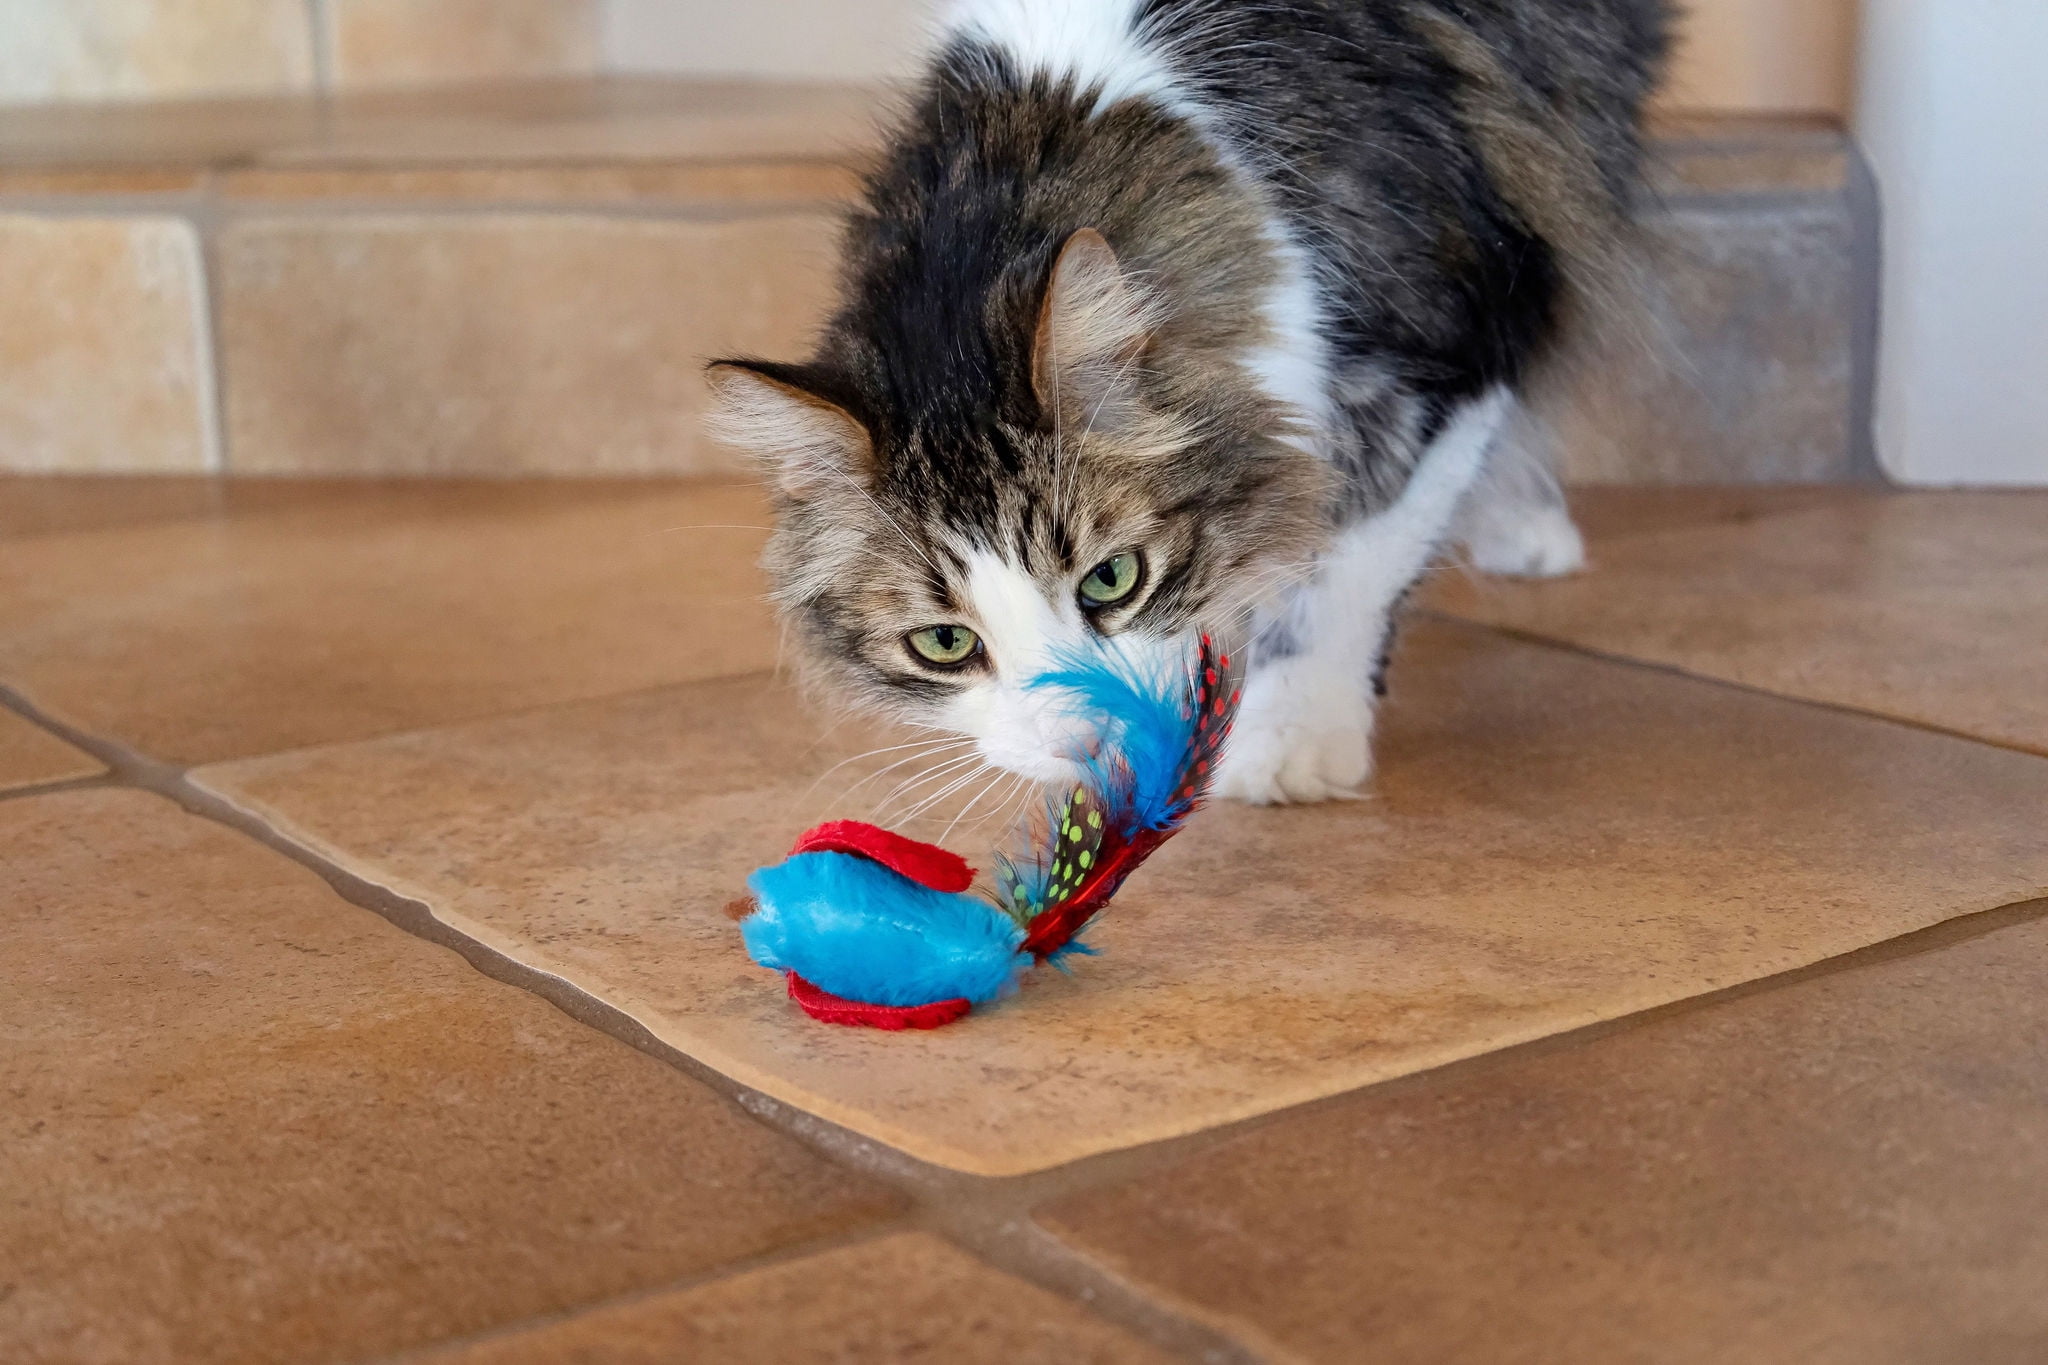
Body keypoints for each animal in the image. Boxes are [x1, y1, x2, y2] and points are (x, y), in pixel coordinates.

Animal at [710, 0, 1671, 804]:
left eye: (1113, 579)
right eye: (944, 643)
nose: (1082, 740)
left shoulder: (1456, 325)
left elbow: (1351, 560)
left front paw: (1289, 736)